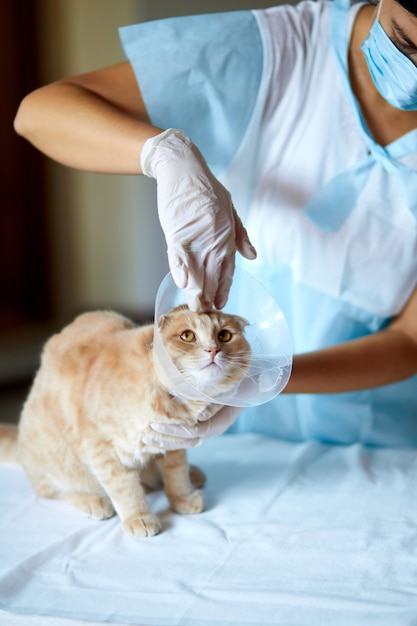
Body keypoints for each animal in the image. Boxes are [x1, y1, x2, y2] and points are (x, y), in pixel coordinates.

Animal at [0, 304, 247, 532]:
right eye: (187, 336)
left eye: (224, 335)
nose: (213, 350)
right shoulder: (102, 447)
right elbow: (125, 488)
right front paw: (139, 517)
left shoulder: (173, 443)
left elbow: (176, 474)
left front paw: (182, 497)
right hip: (60, 461)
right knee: (56, 491)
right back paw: (92, 500)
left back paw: (193, 474)